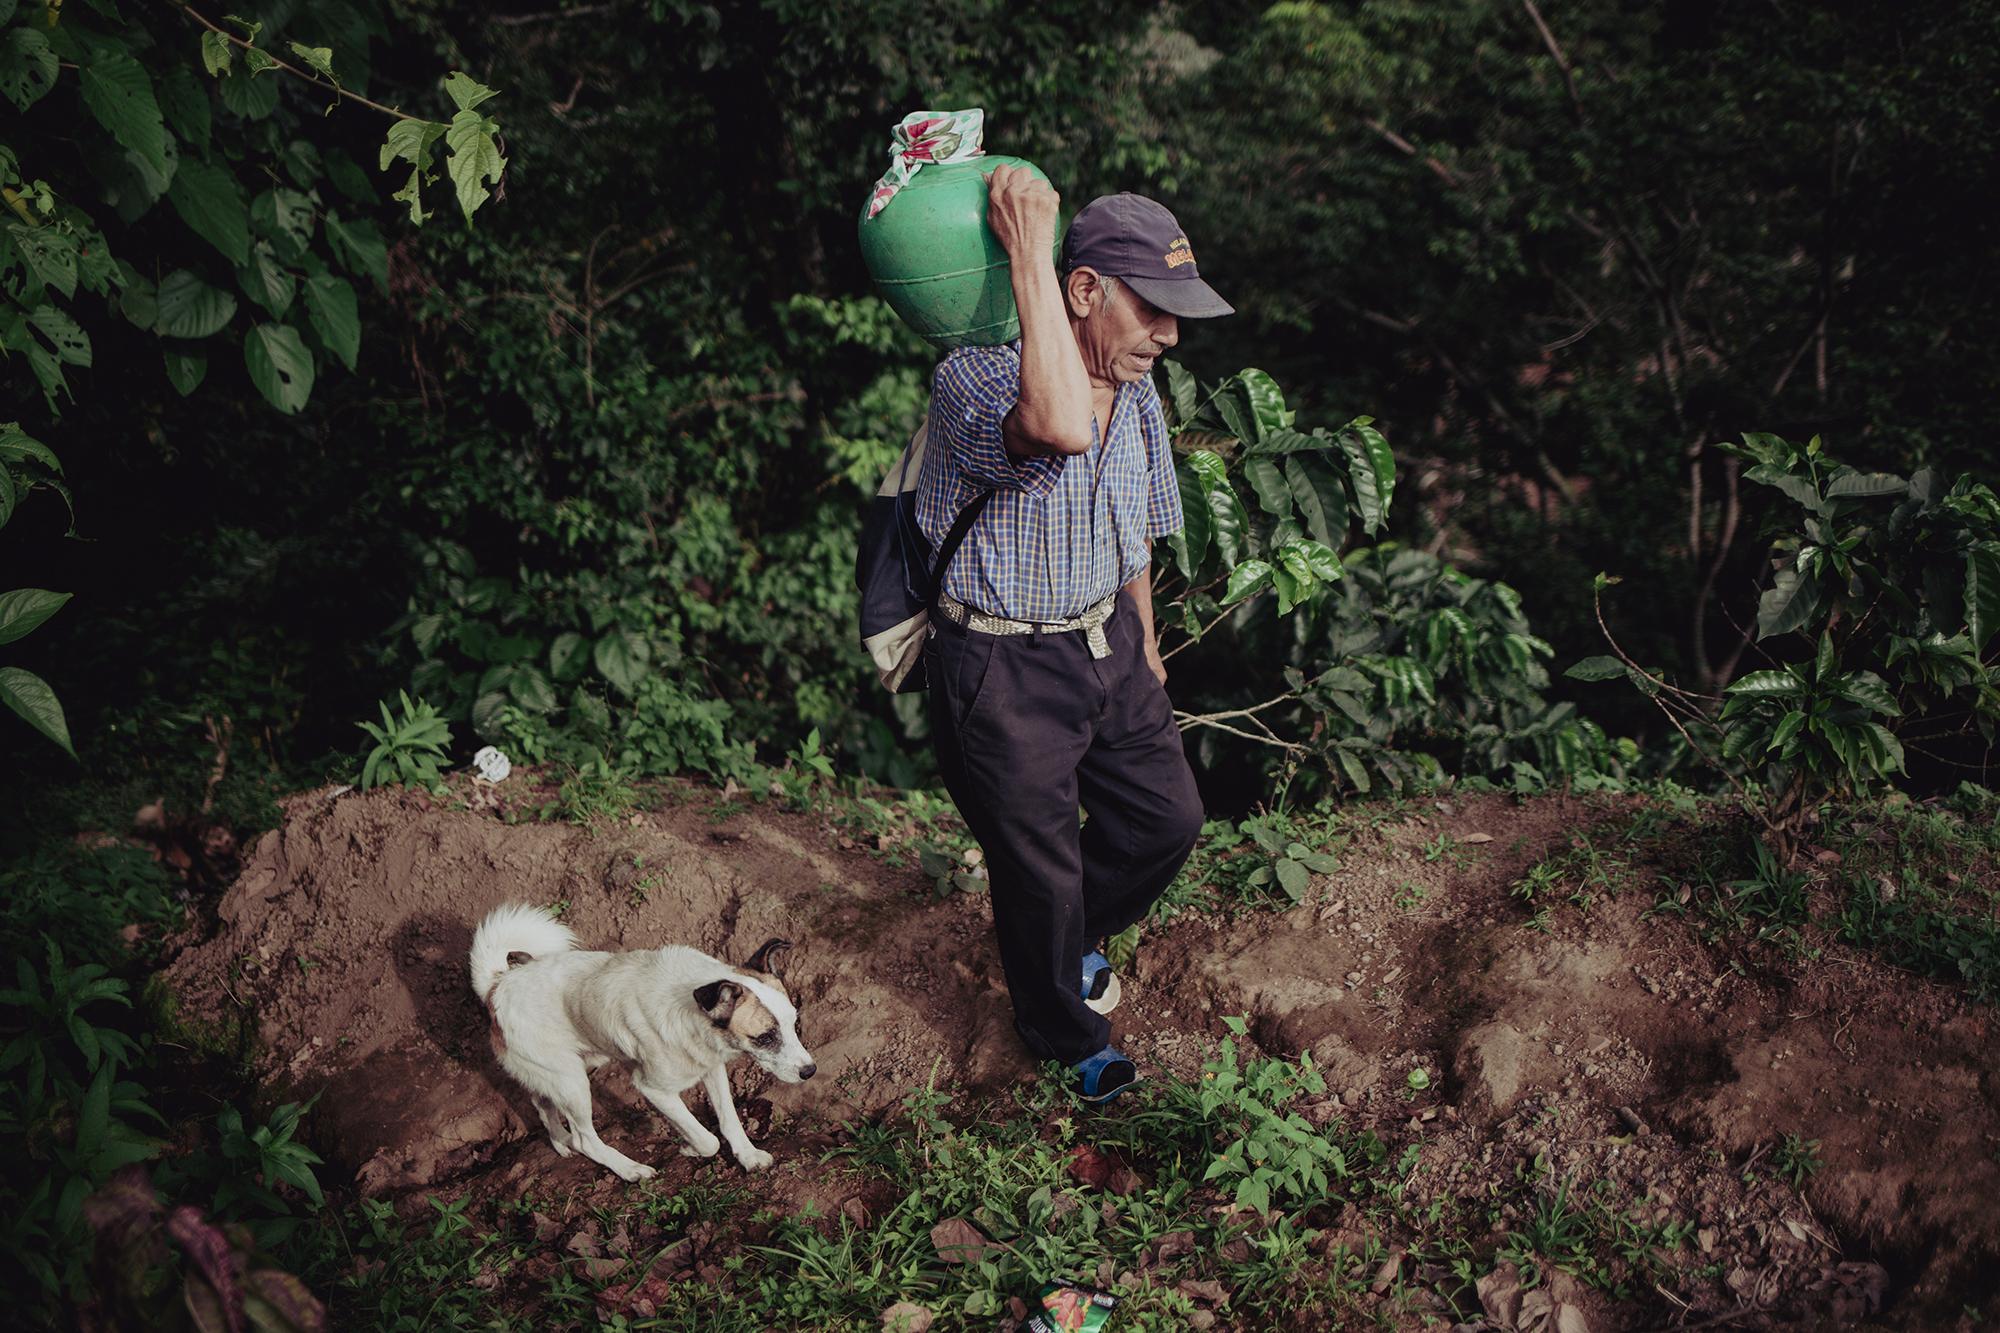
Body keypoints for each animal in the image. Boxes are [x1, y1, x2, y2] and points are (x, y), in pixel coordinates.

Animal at [468, 904, 812, 1176]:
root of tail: (497, 985)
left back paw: (561, 1142)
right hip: (573, 1082)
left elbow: (729, 1120)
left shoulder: (711, 1068)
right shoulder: (653, 1089)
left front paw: (748, 1156)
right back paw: (630, 1169)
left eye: (794, 1023)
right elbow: (708, 1140)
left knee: (541, 1102)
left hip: (560, 1073)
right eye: (765, 1037)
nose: (810, 1071)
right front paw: (690, 1148)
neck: (692, 1006)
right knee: (585, 1138)